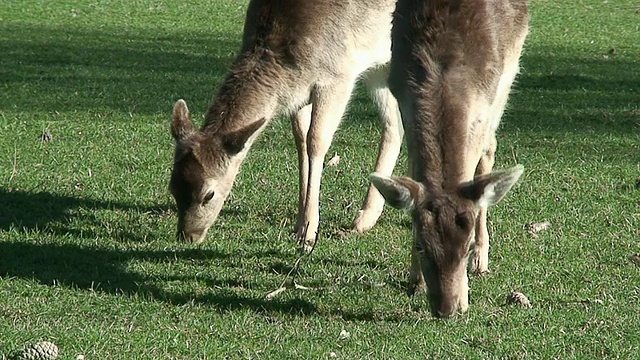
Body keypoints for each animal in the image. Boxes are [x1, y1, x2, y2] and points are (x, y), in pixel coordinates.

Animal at [168, 0, 402, 252]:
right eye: (172, 186)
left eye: (208, 194)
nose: (187, 235)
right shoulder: (299, 95)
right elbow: (301, 140)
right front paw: (299, 224)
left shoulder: (337, 75)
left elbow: (316, 141)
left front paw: (308, 235)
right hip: (380, 66)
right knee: (394, 124)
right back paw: (366, 218)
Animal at [370, 0, 528, 316]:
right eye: (420, 245)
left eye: (464, 249)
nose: (446, 309)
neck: (442, 69)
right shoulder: (401, 96)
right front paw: (414, 280)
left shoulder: (483, 103)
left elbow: (473, 171)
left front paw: (468, 287)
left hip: (508, 73)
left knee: (489, 150)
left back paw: (483, 259)